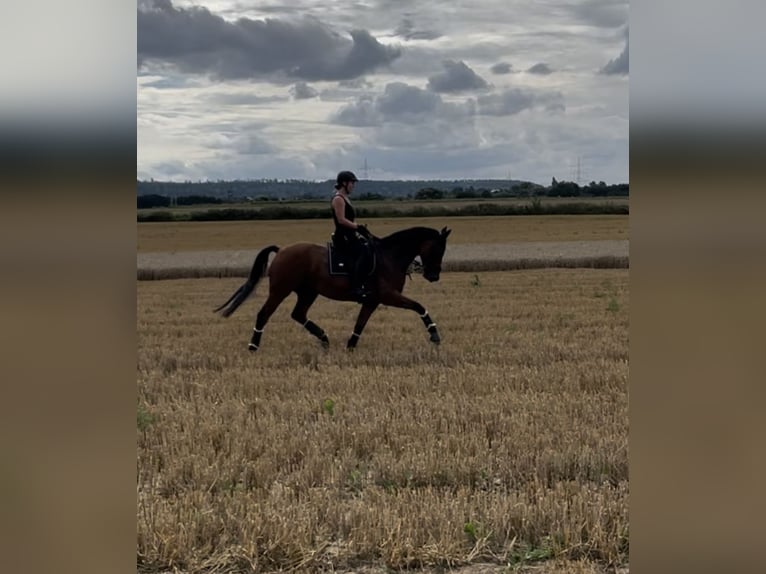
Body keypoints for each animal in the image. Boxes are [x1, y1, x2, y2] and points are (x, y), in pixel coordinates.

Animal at [213, 227, 452, 354]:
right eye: (438, 249)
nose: (434, 276)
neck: (389, 257)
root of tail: (281, 250)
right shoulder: (389, 296)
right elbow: (419, 306)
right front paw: (434, 334)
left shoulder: (372, 300)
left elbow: (360, 324)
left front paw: (350, 346)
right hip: (280, 290)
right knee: (264, 314)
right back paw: (253, 346)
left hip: (308, 292)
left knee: (298, 314)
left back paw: (324, 338)